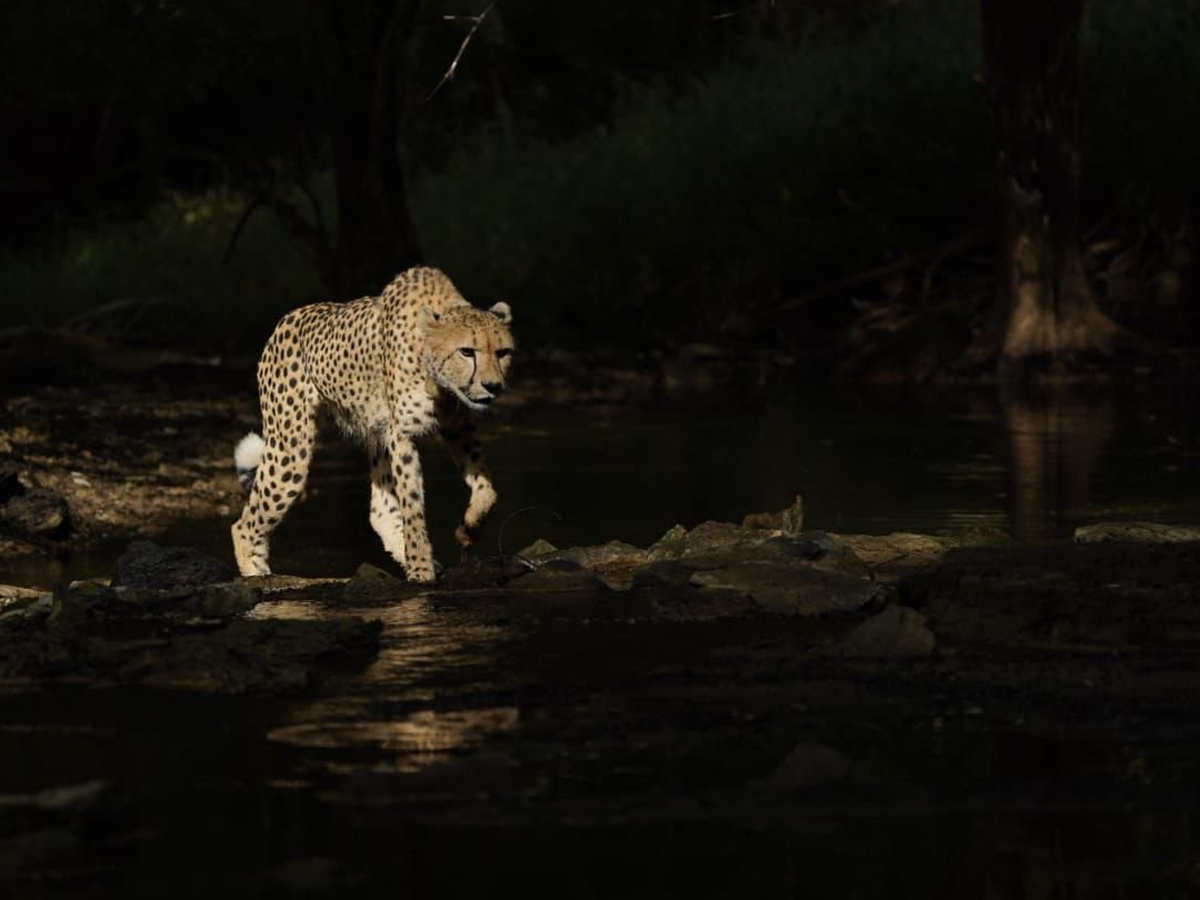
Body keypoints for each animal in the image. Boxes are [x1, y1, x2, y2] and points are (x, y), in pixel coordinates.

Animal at [230, 266, 514, 582]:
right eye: (467, 351)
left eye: (502, 352)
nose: (492, 386)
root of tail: (287, 319)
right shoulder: (402, 435)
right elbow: (412, 507)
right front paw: (420, 571)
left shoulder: (456, 425)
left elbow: (486, 487)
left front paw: (469, 529)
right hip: (291, 450)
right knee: (243, 524)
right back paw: (255, 574)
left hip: (375, 435)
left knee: (380, 512)